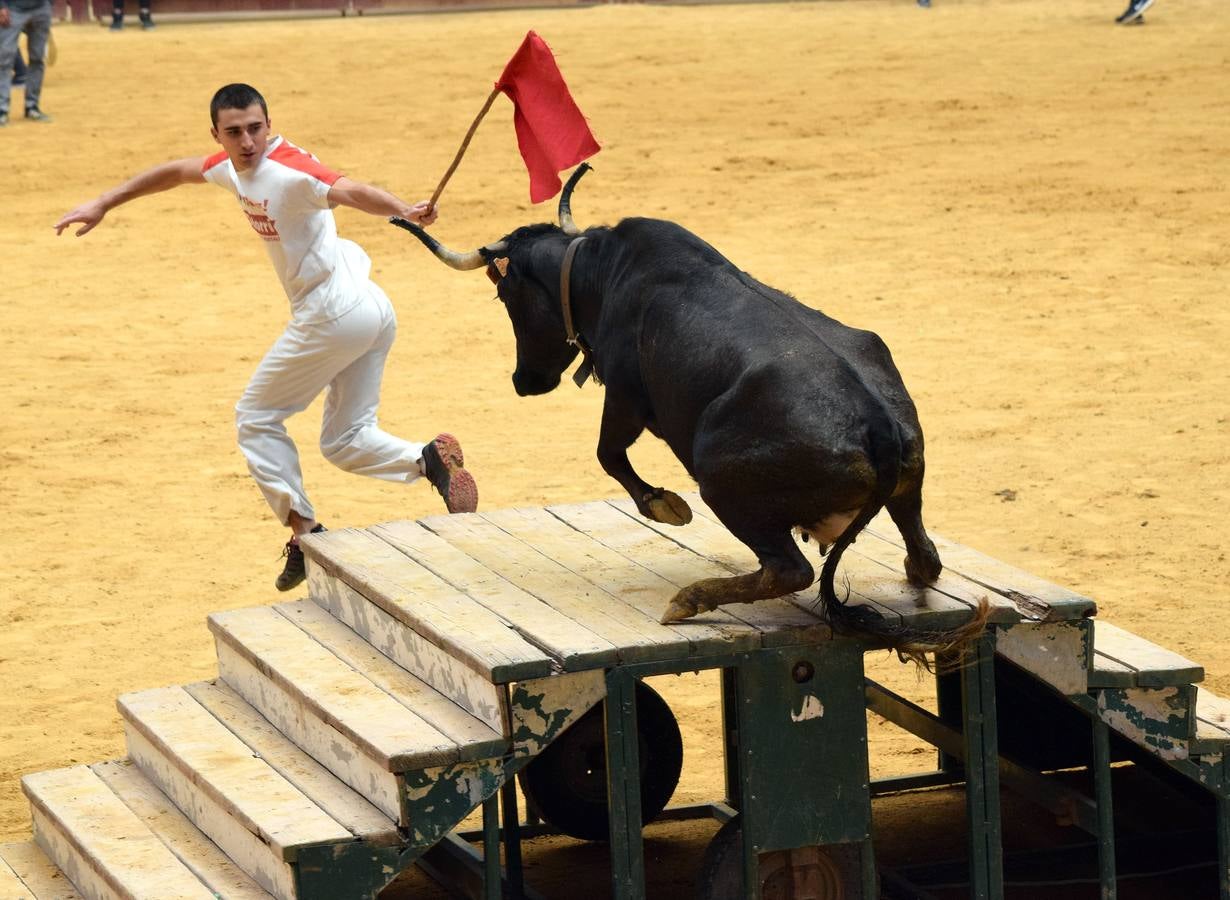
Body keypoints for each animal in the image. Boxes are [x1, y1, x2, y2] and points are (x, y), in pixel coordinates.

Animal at [393, 170, 988, 659]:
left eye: (506, 298)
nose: (525, 382)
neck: (602, 271)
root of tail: (877, 427)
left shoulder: (625, 397)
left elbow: (608, 454)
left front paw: (664, 506)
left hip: (722, 484)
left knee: (787, 570)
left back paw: (689, 600)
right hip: (910, 484)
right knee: (924, 555)